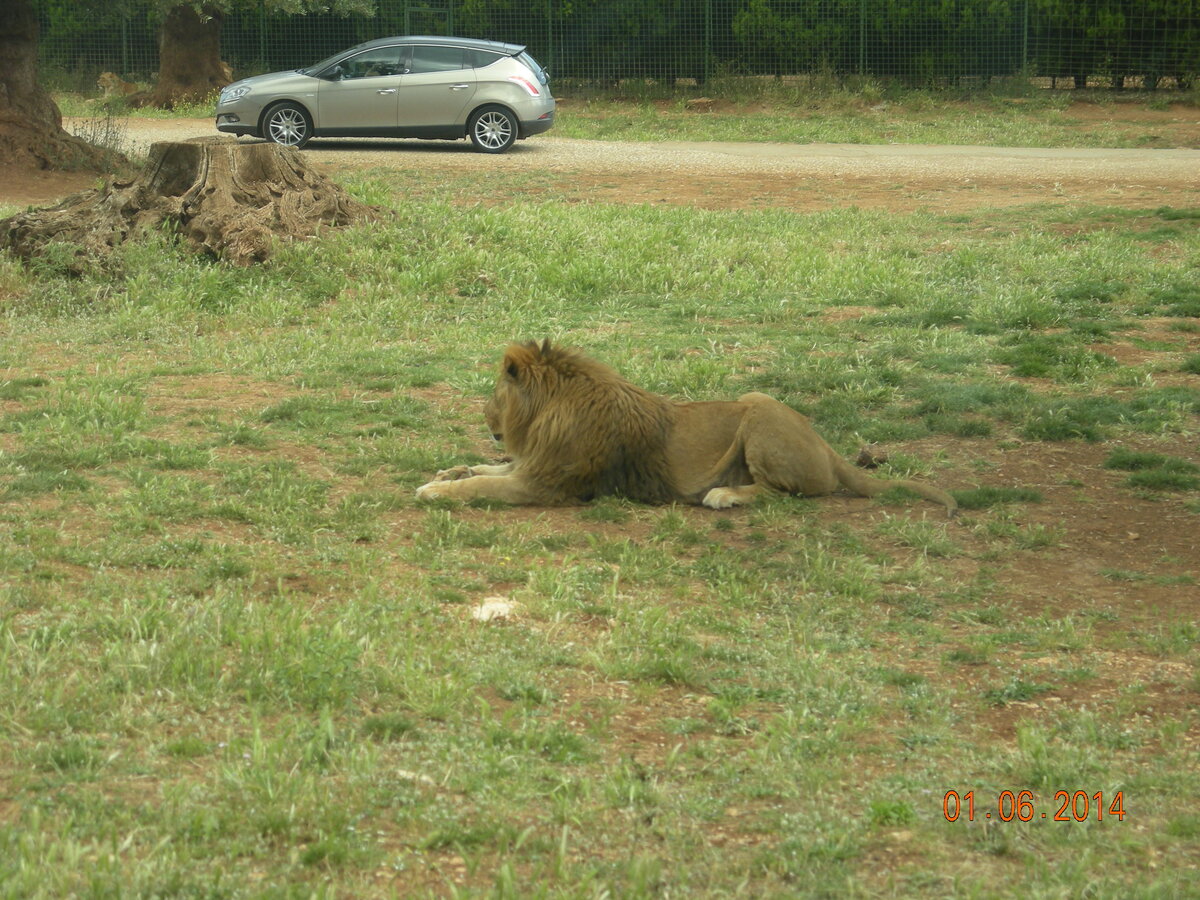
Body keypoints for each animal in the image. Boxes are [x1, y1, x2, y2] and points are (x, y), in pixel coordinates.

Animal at [417, 338, 960, 518]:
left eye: (494, 392)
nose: (484, 417)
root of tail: (829, 450)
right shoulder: (530, 466)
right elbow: (483, 469)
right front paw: (448, 473)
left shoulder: (546, 486)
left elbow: (484, 485)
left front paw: (434, 491)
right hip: (754, 397)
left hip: (760, 416)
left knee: (788, 494)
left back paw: (725, 495)